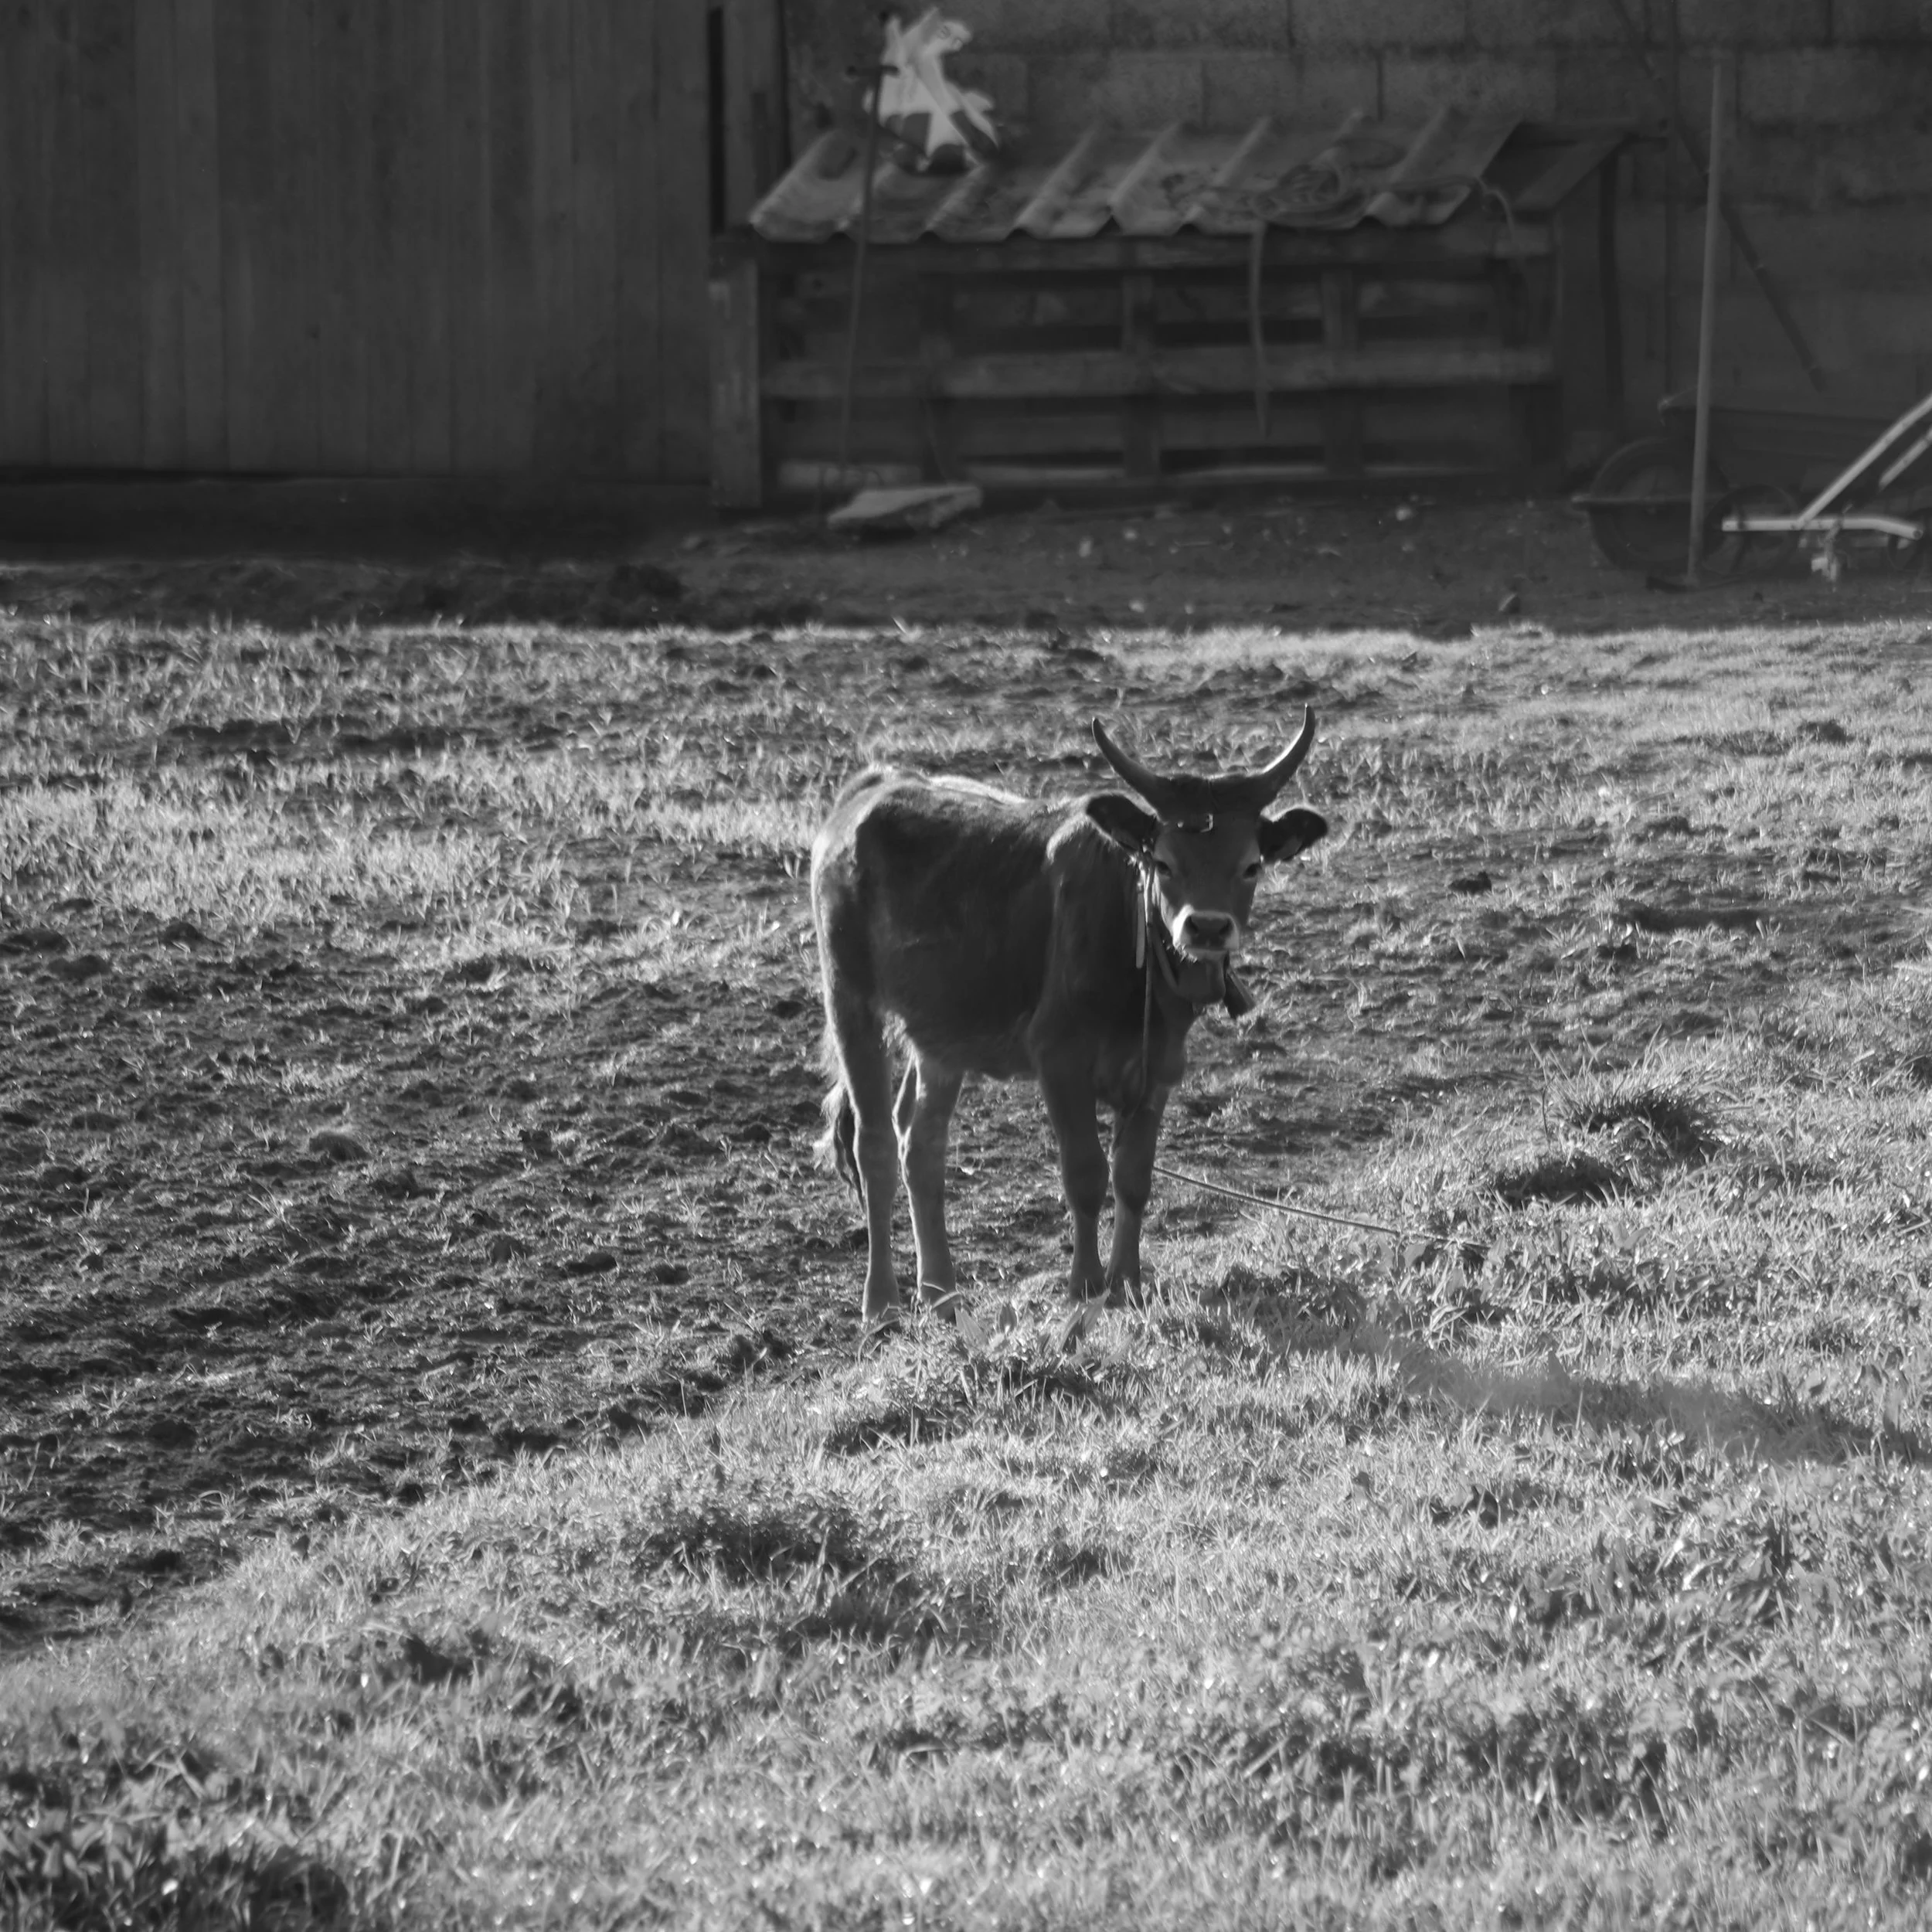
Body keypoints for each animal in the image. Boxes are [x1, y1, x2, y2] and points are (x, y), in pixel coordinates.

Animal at [810, 712, 1327, 1327]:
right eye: (1164, 862)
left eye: (1250, 866)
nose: (1206, 927)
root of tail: (874, 785)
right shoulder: (1059, 1059)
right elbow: (1085, 1173)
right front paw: (1084, 1285)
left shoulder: (1158, 1068)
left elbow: (1133, 1176)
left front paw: (1128, 1283)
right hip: (849, 999)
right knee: (876, 1146)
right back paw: (883, 1304)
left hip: (941, 1032)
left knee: (922, 1141)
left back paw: (942, 1295)